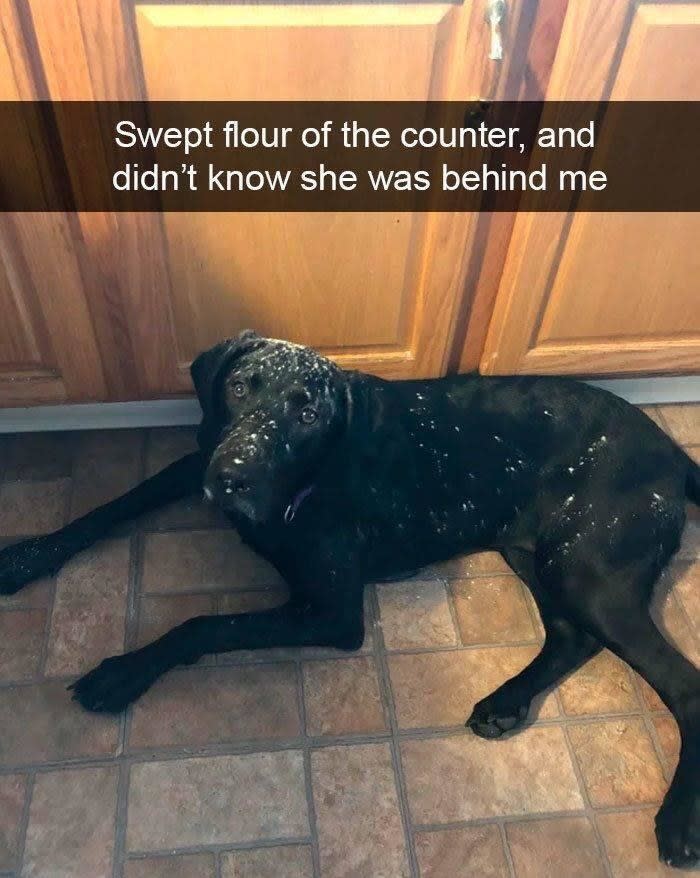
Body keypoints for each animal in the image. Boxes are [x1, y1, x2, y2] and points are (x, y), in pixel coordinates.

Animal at [0, 334, 696, 868]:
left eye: (308, 414)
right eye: (240, 387)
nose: (233, 476)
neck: (299, 482)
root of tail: (671, 448)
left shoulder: (330, 612)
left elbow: (203, 623)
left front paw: (124, 671)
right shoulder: (195, 458)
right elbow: (109, 507)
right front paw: (29, 555)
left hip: (587, 572)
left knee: (680, 682)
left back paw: (677, 822)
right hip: (534, 553)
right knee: (572, 637)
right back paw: (507, 700)